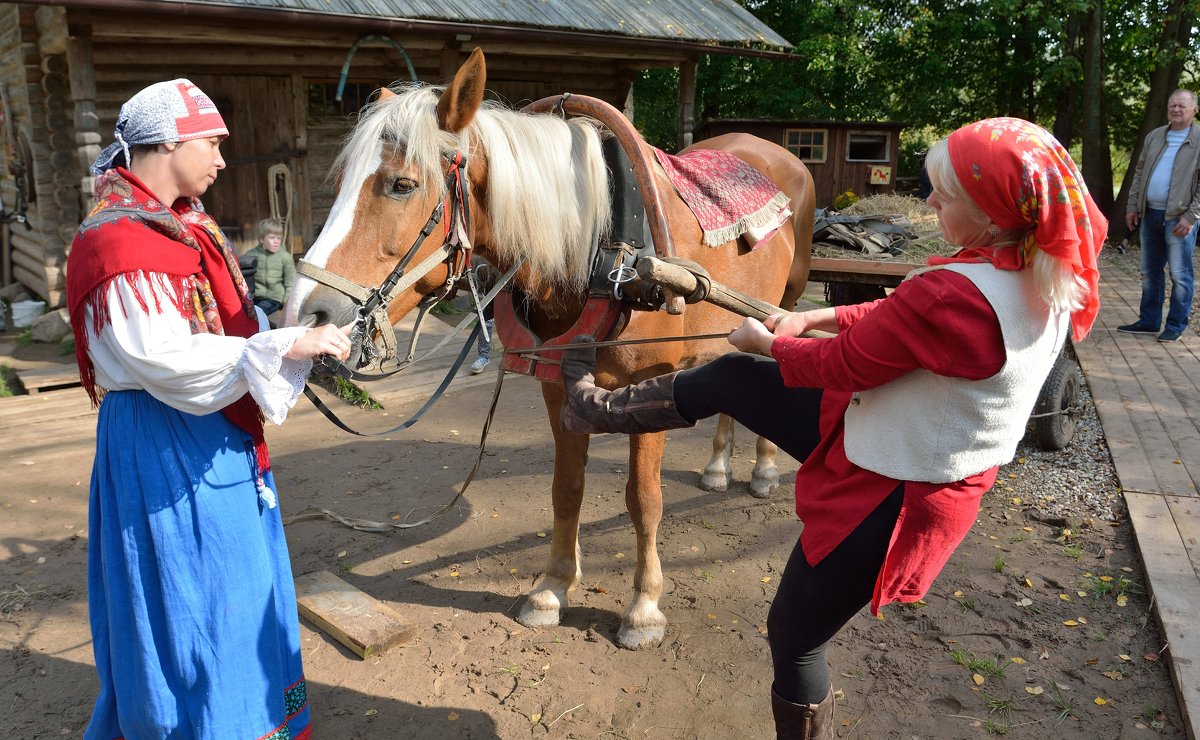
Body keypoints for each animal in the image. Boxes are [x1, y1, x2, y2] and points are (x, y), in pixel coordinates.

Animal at [283, 50, 816, 647]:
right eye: (340, 182)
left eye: (402, 184)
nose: (306, 316)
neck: (604, 250)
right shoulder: (558, 384)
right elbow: (567, 488)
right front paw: (553, 587)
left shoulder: (651, 386)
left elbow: (644, 500)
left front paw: (643, 605)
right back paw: (719, 465)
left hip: (782, 304)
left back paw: (763, 471)